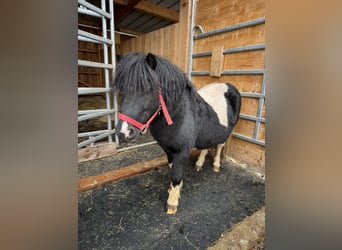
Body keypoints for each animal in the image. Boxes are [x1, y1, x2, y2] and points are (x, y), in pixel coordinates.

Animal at [112, 51, 240, 214]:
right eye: (121, 90)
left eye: (148, 90)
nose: (123, 132)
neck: (179, 116)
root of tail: (229, 86)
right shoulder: (168, 150)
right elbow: (173, 170)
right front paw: (175, 190)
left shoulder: (182, 151)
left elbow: (176, 174)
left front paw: (172, 203)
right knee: (206, 147)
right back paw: (199, 164)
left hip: (227, 132)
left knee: (219, 146)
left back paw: (216, 165)